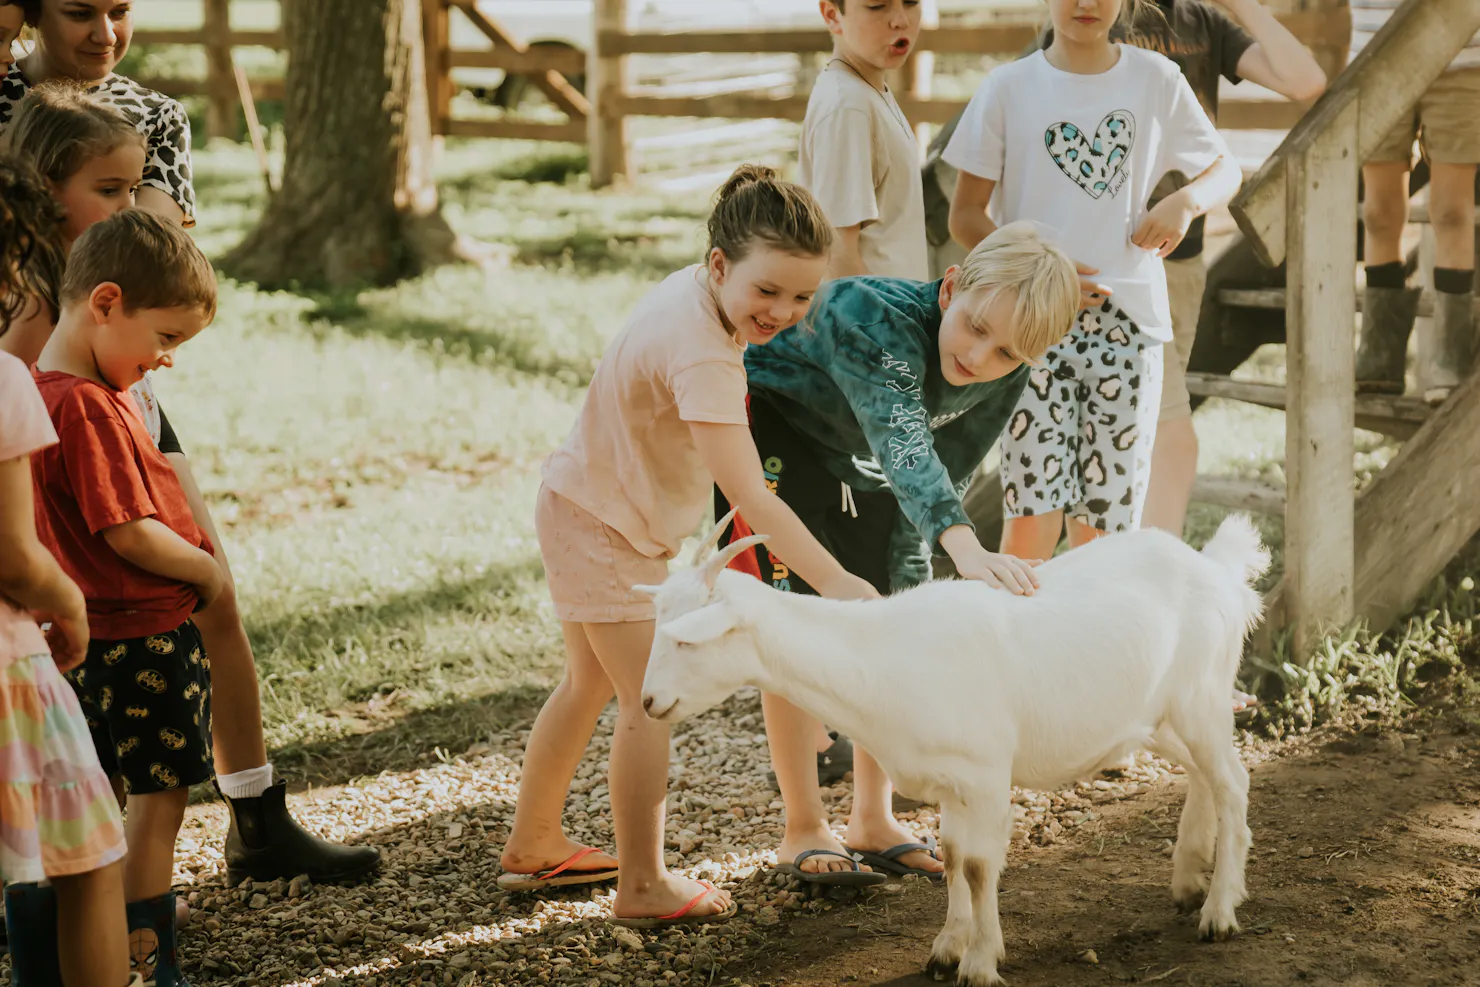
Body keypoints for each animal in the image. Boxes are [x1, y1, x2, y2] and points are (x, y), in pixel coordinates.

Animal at [639, 514, 1272, 982]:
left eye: (685, 640)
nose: (647, 702)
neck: (877, 657)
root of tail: (1215, 568)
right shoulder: (949, 780)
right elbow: (949, 856)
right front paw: (948, 945)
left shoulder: (985, 776)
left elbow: (977, 865)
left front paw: (980, 962)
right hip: (1160, 715)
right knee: (1202, 776)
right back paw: (1188, 878)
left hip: (1200, 697)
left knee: (1232, 784)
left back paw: (1219, 910)